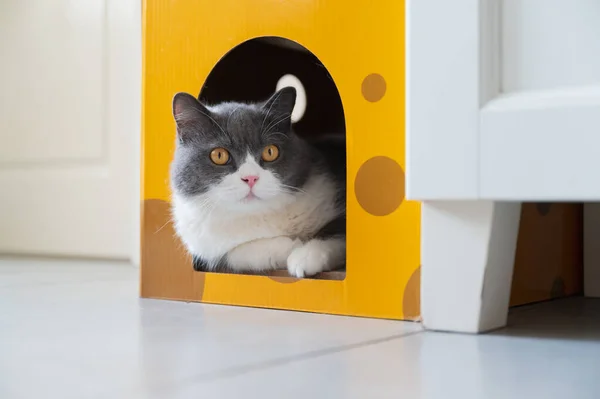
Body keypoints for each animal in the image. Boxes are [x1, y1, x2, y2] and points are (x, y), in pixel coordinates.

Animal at [169, 86, 346, 278]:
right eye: (219, 155)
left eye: (270, 151)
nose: (251, 178)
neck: (258, 213)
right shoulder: (204, 246)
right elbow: (234, 253)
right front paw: (291, 245)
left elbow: (340, 229)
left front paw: (306, 255)